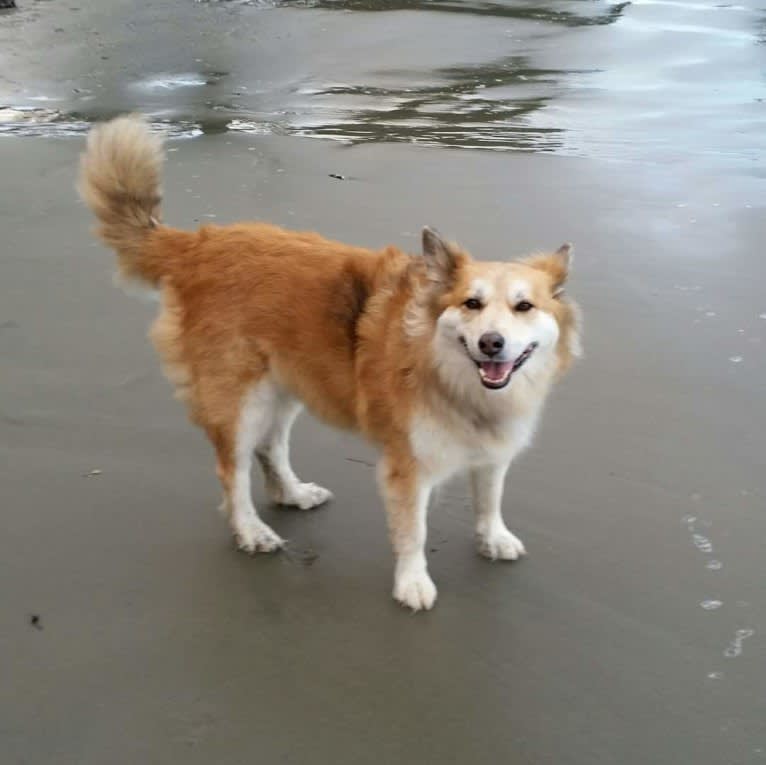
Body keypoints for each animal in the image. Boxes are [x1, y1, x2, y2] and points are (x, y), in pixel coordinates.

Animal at [78, 113, 584, 612]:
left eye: (524, 307)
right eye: (471, 304)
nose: (492, 344)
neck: (449, 373)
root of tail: (197, 243)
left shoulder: (493, 451)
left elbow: (490, 497)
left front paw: (492, 537)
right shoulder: (407, 466)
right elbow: (414, 531)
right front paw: (412, 582)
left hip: (286, 386)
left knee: (271, 447)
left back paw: (293, 494)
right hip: (240, 399)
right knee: (233, 471)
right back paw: (251, 530)